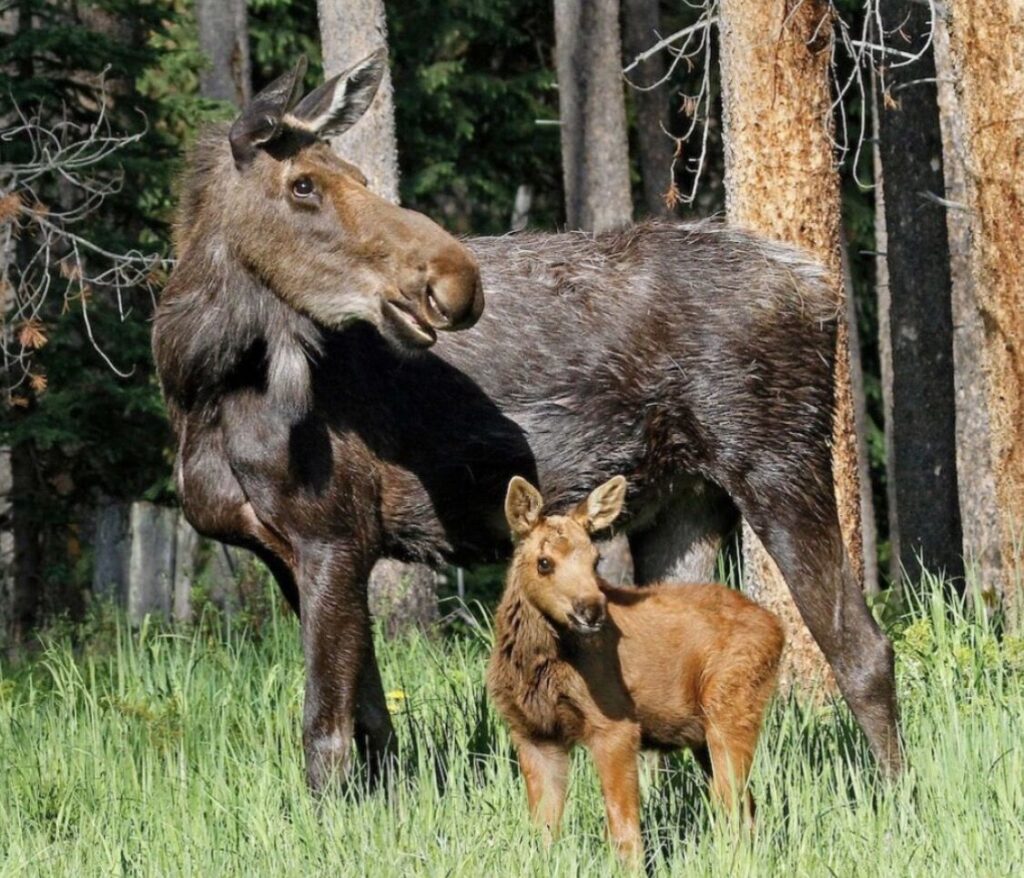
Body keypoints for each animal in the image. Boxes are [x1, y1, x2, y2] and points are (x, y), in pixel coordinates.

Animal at [152, 50, 902, 794]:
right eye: (303, 184)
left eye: (361, 176)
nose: (456, 280)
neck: (201, 387)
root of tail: (821, 286)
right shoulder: (292, 551)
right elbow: (372, 723)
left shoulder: (334, 534)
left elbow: (326, 733)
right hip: (685, 501)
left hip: (778, 460)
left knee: (863, 647)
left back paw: (896, 797)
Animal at [487, 475, 784, 864]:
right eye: (544, 562)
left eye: (595, 560)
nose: (591, 610)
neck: (536, 666)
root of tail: (777, 628)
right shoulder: (532, 732)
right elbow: (544, 833)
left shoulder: (616, 725)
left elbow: (624, 829)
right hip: (705, 734)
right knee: (746, 805)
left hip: (732, 705)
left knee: (731, 804)